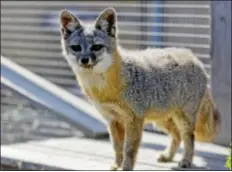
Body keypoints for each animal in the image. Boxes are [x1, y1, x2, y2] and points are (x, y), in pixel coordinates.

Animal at [58, 7, 221, 170]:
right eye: (76, 48)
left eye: (96, 47)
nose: (84, 60)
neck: (105, 90)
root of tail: (193, 56)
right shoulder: (112, 120)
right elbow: (117, 147)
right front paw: (117, 165)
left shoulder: (134, 119)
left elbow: (129, 149)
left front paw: (126, 167)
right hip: (162, 121)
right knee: (177, 135)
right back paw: (168, 156)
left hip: (183, 119)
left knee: (189, 137)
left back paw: (186, 160)